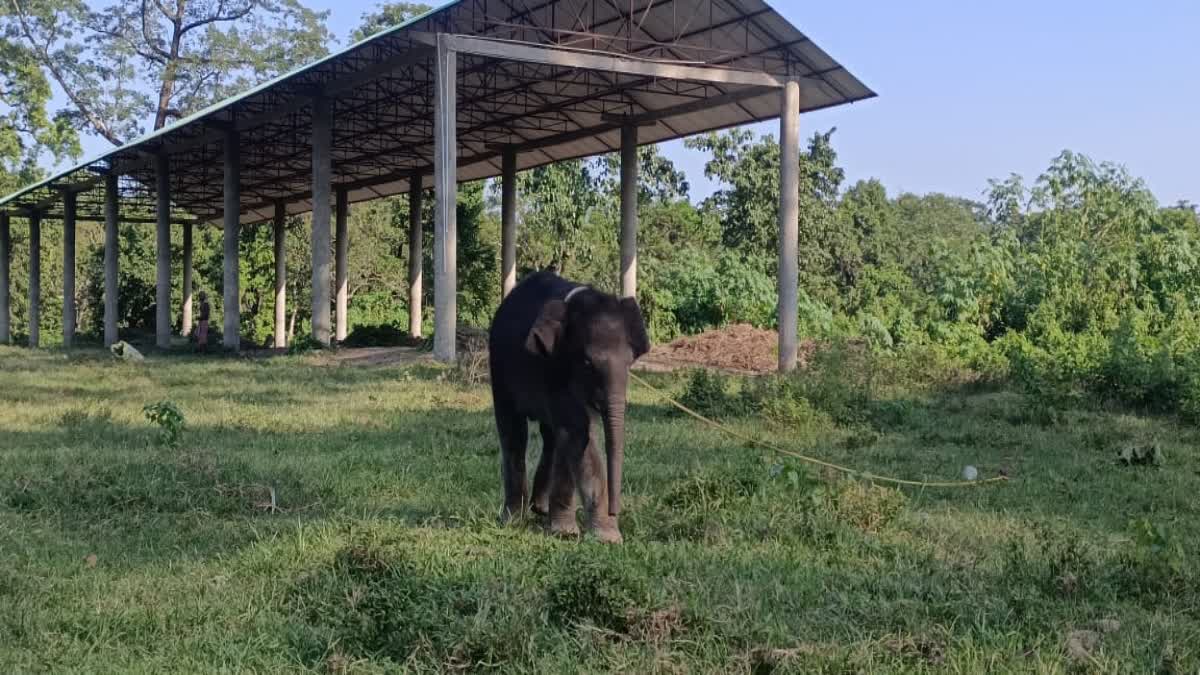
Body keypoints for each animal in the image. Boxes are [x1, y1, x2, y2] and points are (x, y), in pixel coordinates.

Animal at [487, 270, 649, 543]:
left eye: (630, 362)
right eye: (587, 362)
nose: (615, 510)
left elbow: (574, 434)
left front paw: (580, 532)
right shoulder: (554, 366)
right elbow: (578, 430)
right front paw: (599, 536)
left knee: (551, 435)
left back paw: (540, 509)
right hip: (498, 369)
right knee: (514, 431)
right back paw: (513, 519)